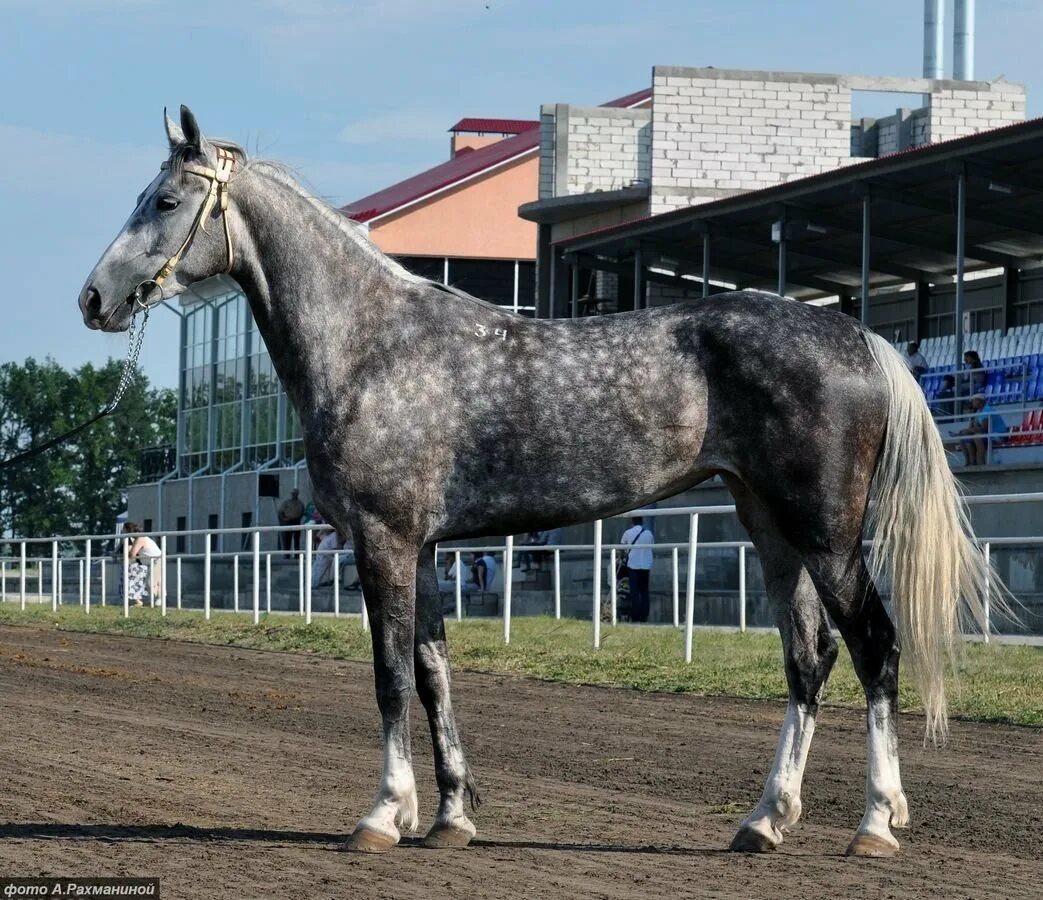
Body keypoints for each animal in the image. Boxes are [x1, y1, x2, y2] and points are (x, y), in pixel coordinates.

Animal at [77, 107, 988, 859]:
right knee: (809, 656)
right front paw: (448, 817)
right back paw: (763, 821)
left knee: (873, 645)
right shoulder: (423, 549)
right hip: (768, 524)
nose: (93, 298)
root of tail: (858, 336)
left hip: (825, 531)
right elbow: (433, 673)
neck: (372, 346)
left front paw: (382, 815)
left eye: (164, 201)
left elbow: (388, 677)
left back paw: (874, 824)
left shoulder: (382, 541)